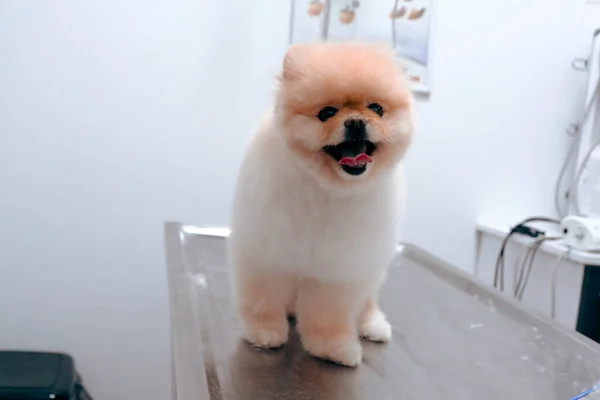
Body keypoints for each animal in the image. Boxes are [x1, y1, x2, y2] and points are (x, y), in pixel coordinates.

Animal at [227, 42, 414, 368]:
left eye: (376, 108)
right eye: (327, 112)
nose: (356, 122)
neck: (328, 190)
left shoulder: (338, 269)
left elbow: (329, 314)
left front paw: (333, 347)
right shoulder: (267, 251)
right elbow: (263, 298)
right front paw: (264, 331)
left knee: (367, 300)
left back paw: (372, 324)